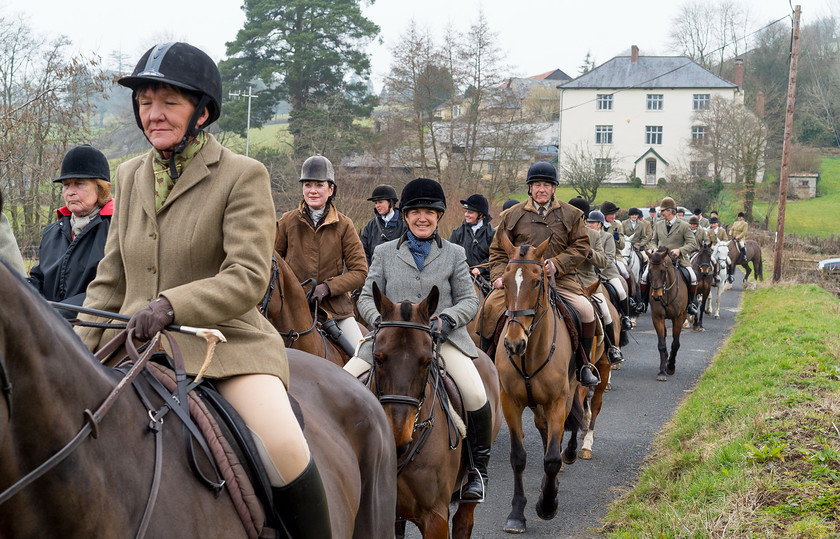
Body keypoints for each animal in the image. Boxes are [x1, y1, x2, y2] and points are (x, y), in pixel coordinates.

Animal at [492, 233, 584, 536]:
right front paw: (516, 514)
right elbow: (518, 457)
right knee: (544, 431)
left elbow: (552, 458)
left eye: (536, 281)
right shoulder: (510, 403)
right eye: (506, 280)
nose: (513, 343)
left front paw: (547, 505)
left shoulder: (557, 401)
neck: (530, 354)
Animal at [644, 247, 688, 382]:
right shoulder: (657, 318)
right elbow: (661, 344)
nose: (656, 296)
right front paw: (662, 371)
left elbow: (675, 344)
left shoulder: (678, 318)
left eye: (663, 271)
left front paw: (670, 367)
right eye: (649, 270)